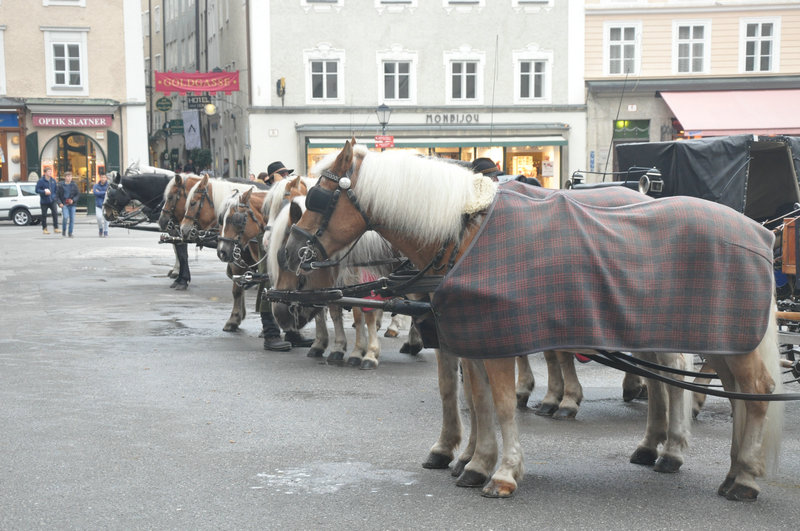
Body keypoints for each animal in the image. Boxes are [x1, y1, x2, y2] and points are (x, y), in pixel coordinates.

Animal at [284, 140, 784, 502]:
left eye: (319, 197)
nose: (292, 253)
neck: (464, 234)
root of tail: (758, 232)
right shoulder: (468, 337)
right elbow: (476, 400)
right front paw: (474, 461)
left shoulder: (493, 339)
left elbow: (502, 405)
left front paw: (502, 472)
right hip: (706, 335)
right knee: (716, 389)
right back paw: (706, 461)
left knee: (749, 391)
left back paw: (739, 476)